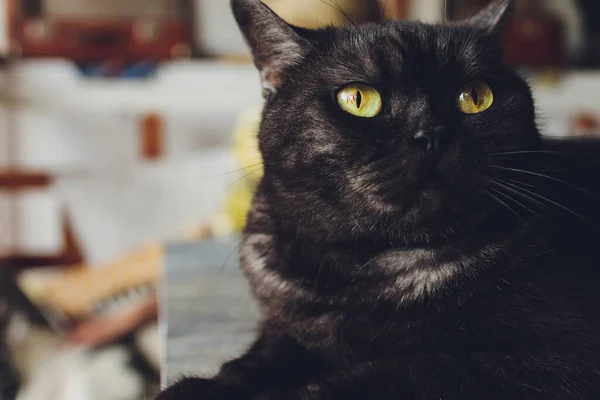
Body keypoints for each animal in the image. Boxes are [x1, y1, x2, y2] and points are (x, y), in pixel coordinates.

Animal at [158, 1, 600, 398]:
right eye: (358, 99)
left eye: (475, 96)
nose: (431, 133)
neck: (361, 268)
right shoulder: (287, 332)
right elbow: (254, 362)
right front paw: (196, 388)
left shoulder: (552, 357)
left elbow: (389, 374)